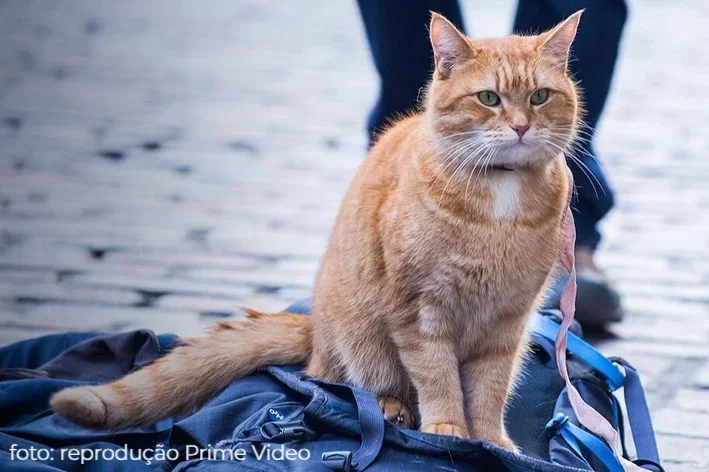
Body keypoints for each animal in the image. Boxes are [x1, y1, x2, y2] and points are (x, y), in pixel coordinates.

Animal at [51, 9, 580, 448]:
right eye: (488, 98)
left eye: (539, 97)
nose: (520, 127)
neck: (501, 197)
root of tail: (315, 323)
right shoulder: (419, 309)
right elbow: (438, 377)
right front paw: (448, 428)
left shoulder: (508, 321)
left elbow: (490, 388)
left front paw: (489, 441)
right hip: (359, 335)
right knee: (342, 378)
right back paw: (389, 406)